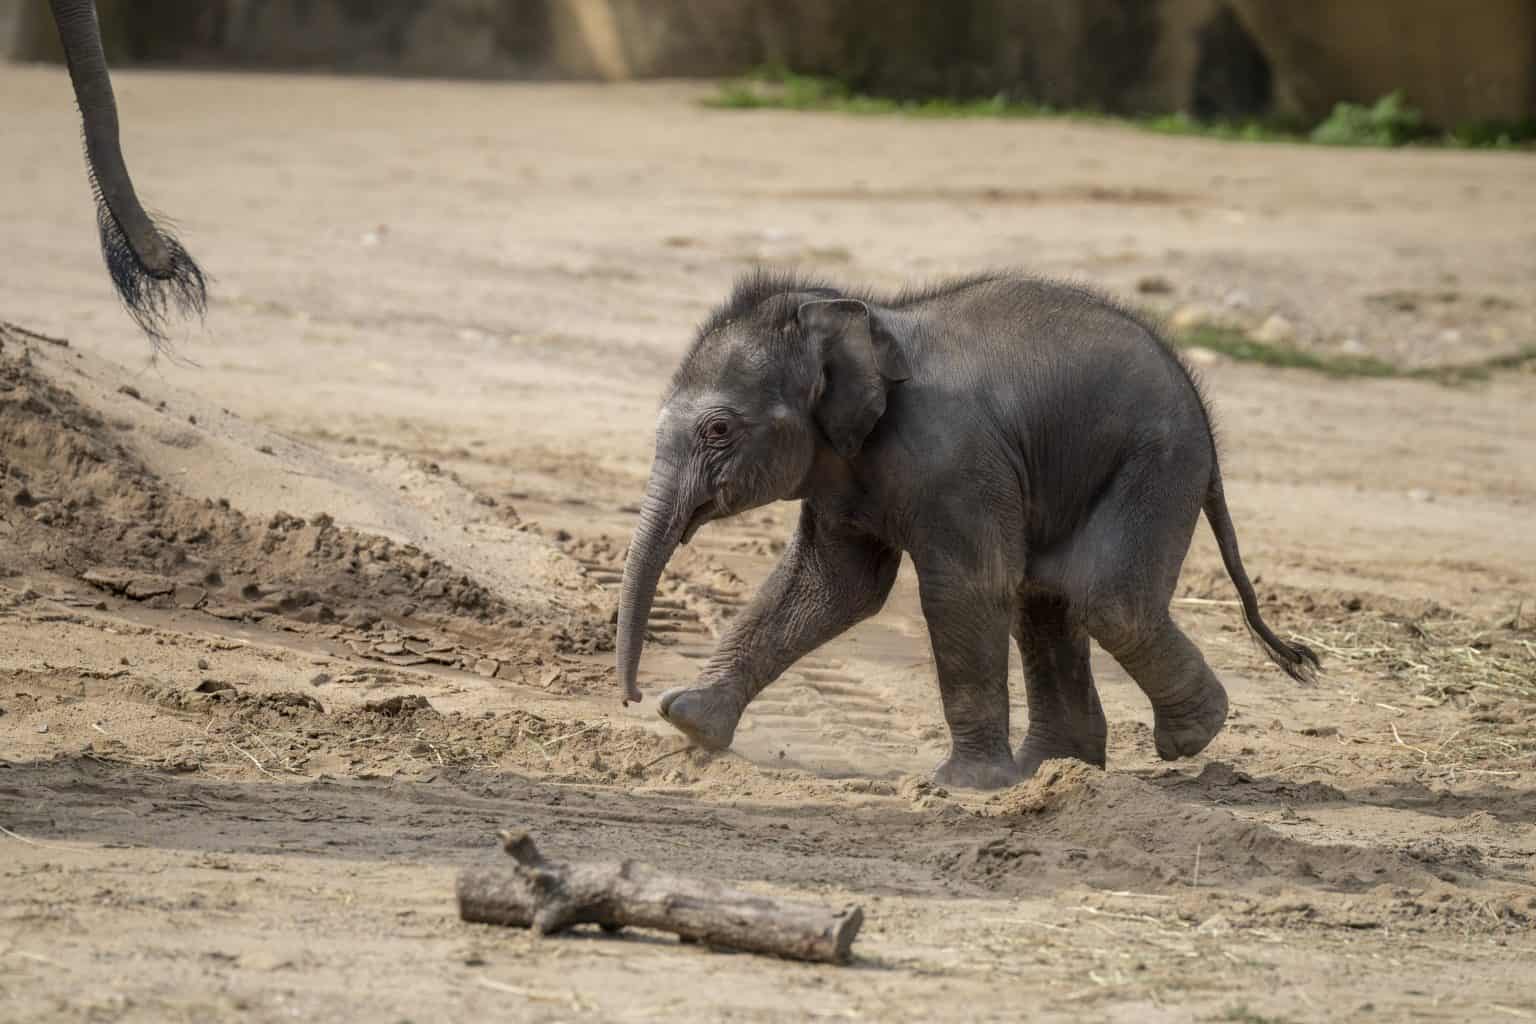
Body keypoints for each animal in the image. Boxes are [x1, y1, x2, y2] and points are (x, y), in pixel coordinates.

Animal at [615, 269, 1319, 790]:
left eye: (718, 429)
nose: (632, 697)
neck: (861, 315)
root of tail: (1204, 413)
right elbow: (831, 586)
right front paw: (688, 720)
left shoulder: (955, 460)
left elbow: (964, 588)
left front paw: (959, 786)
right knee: (1048, 597)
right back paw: (1052, 770)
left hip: (1157, 461)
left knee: (1106, 599)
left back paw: (1191, 735)